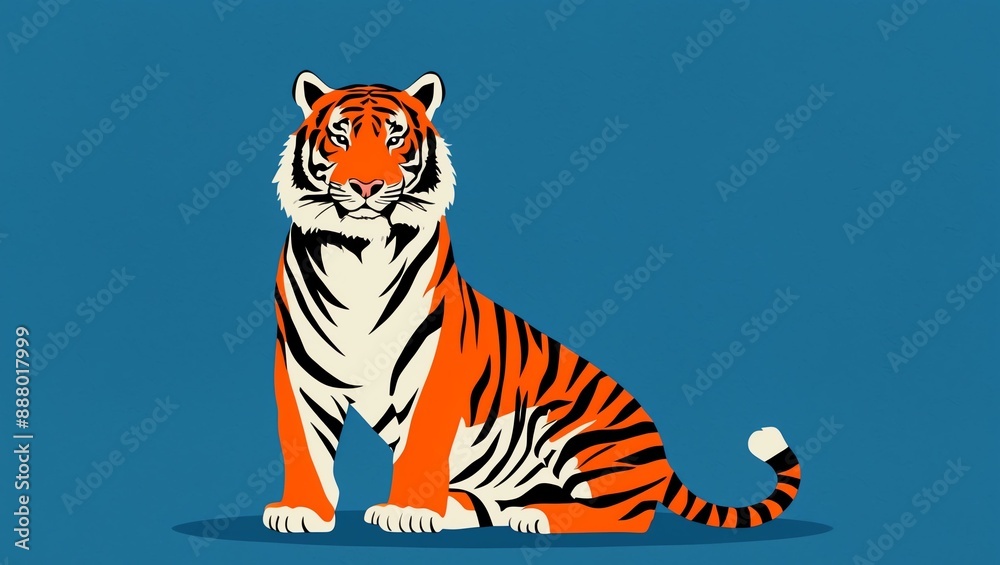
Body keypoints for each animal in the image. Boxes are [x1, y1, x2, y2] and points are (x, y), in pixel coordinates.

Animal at [263, 70, 801, 535]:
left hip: (571, 426)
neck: (359, 251)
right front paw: (302, 512)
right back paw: (474, 508)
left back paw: (536, 517)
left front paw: (408, 512)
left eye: (395, 138)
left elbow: (421, 441)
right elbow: (303, 442)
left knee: (628, 515)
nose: (367, 187)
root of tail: (664, 462)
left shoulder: (436, 362)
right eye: (340, 137)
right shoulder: (298, 365)